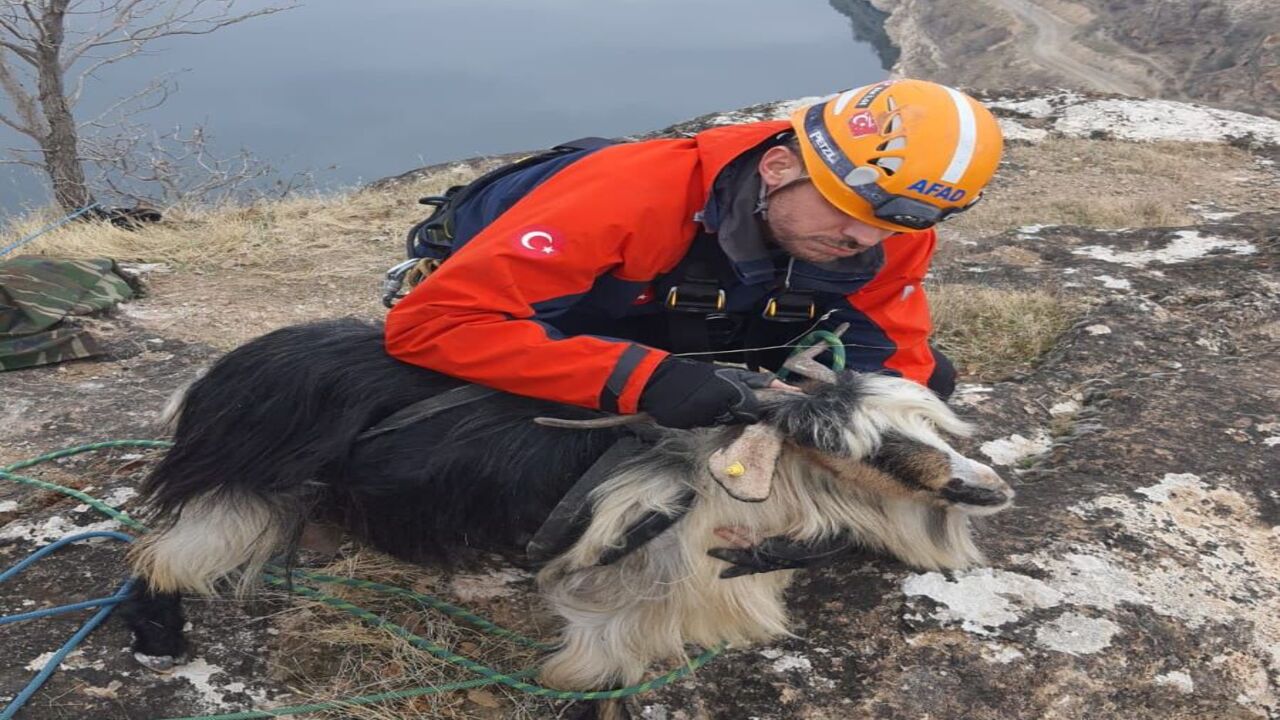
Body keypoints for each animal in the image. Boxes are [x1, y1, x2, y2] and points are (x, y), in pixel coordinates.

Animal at [124, 317, 1013, 717]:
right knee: (161, 552)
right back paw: (158, 631)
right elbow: (596, 662)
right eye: (857, 447)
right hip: (236, 493)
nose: (986, 487)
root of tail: (217, 377)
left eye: (932, 427)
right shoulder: (613, 584)